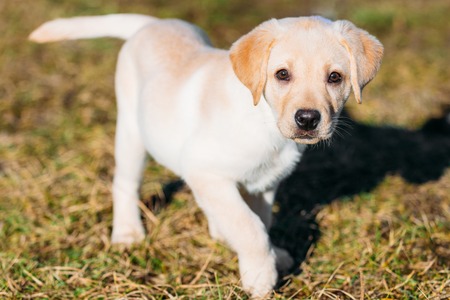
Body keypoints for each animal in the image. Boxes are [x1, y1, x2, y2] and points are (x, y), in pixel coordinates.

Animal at [29, 13, 384, 296]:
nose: (308, 119)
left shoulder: (265, 183)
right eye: (282, 74)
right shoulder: (205, 172)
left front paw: (272, 255)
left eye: (335, 77)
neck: (263, 120)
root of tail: (152, 23)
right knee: (124, 183)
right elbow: (249, 226)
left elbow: (260, 219)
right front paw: (261, 274)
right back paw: (128, 232)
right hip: (131, 133)